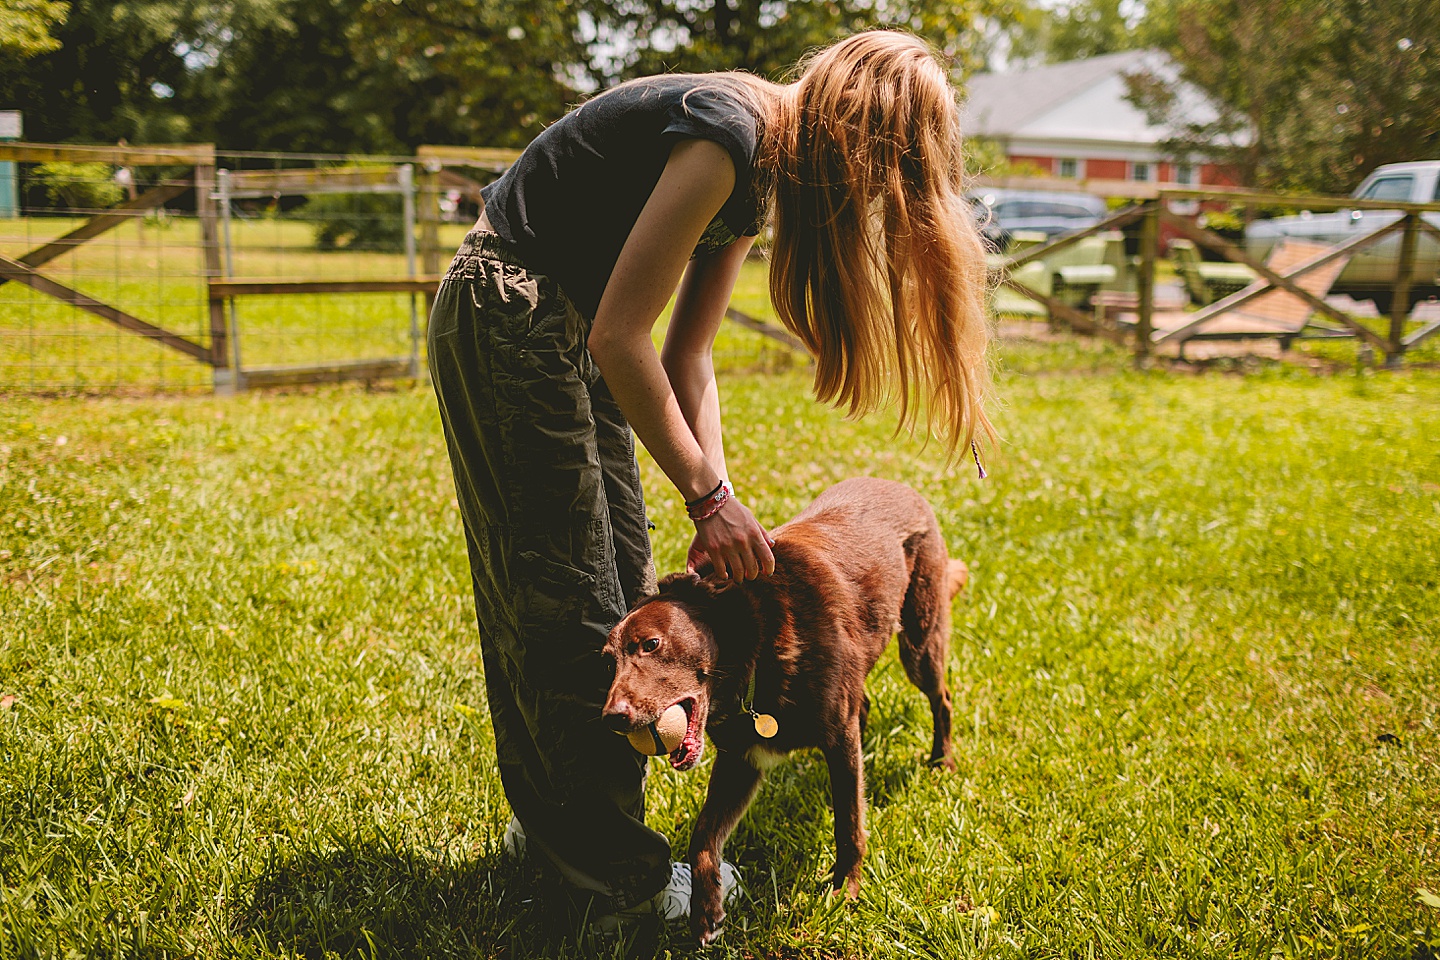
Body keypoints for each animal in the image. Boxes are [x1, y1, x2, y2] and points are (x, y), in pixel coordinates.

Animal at [601, 477, 961, 944]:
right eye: (608, 662)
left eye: (651, 644)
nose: (612, 718)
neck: (758, 645)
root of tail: (898, 484)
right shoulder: (742, 759)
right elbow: (703, 836)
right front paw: (706, 910)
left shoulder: (836, 736)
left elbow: (848, 824)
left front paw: (844, 892)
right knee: (865, 704)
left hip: (919, 641)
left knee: (942, 698)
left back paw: (942, 760)